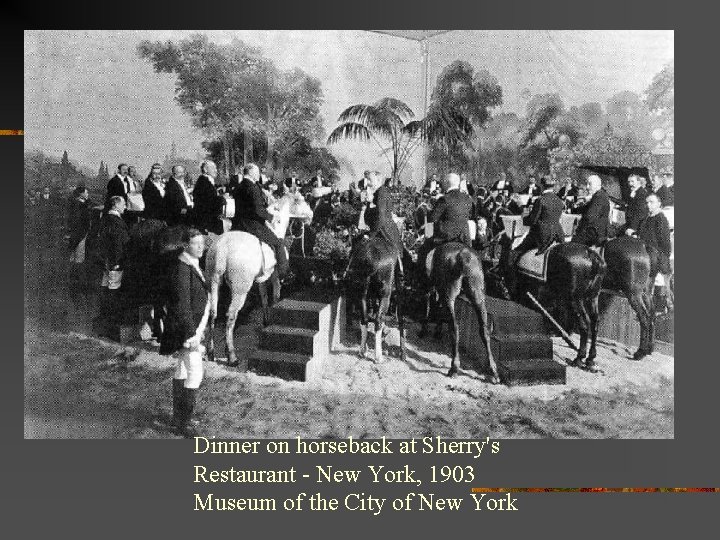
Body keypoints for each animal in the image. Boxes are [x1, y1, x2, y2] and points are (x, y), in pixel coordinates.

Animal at [205, 192, 312, 364]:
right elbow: (275, 297)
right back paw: (232, 355)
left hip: (213, 284)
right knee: (231, 316)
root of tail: (221, 248)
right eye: (302, 199)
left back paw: (211, 351)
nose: (310, 216)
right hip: (240, 291)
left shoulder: (262, 279)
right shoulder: (275, 276)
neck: (275, 227)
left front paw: (266, 322)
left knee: (213, 313)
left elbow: (264, 299)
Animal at [420, 243, 498, 382]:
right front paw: (437, 331)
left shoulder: (430, 286)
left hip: (449, 294)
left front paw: (425, 330)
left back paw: (454, 368)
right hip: (478, 296)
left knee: (455, 326)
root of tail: (464, 257)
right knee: (484, 330)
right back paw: (493, 372)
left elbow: (429, 306)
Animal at [500, 239, 608, 372]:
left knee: (584, 325)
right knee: (595, 323)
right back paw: (590, 359)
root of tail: (591, 255)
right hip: (592, 298)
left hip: (575, 299)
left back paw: (579, 358)